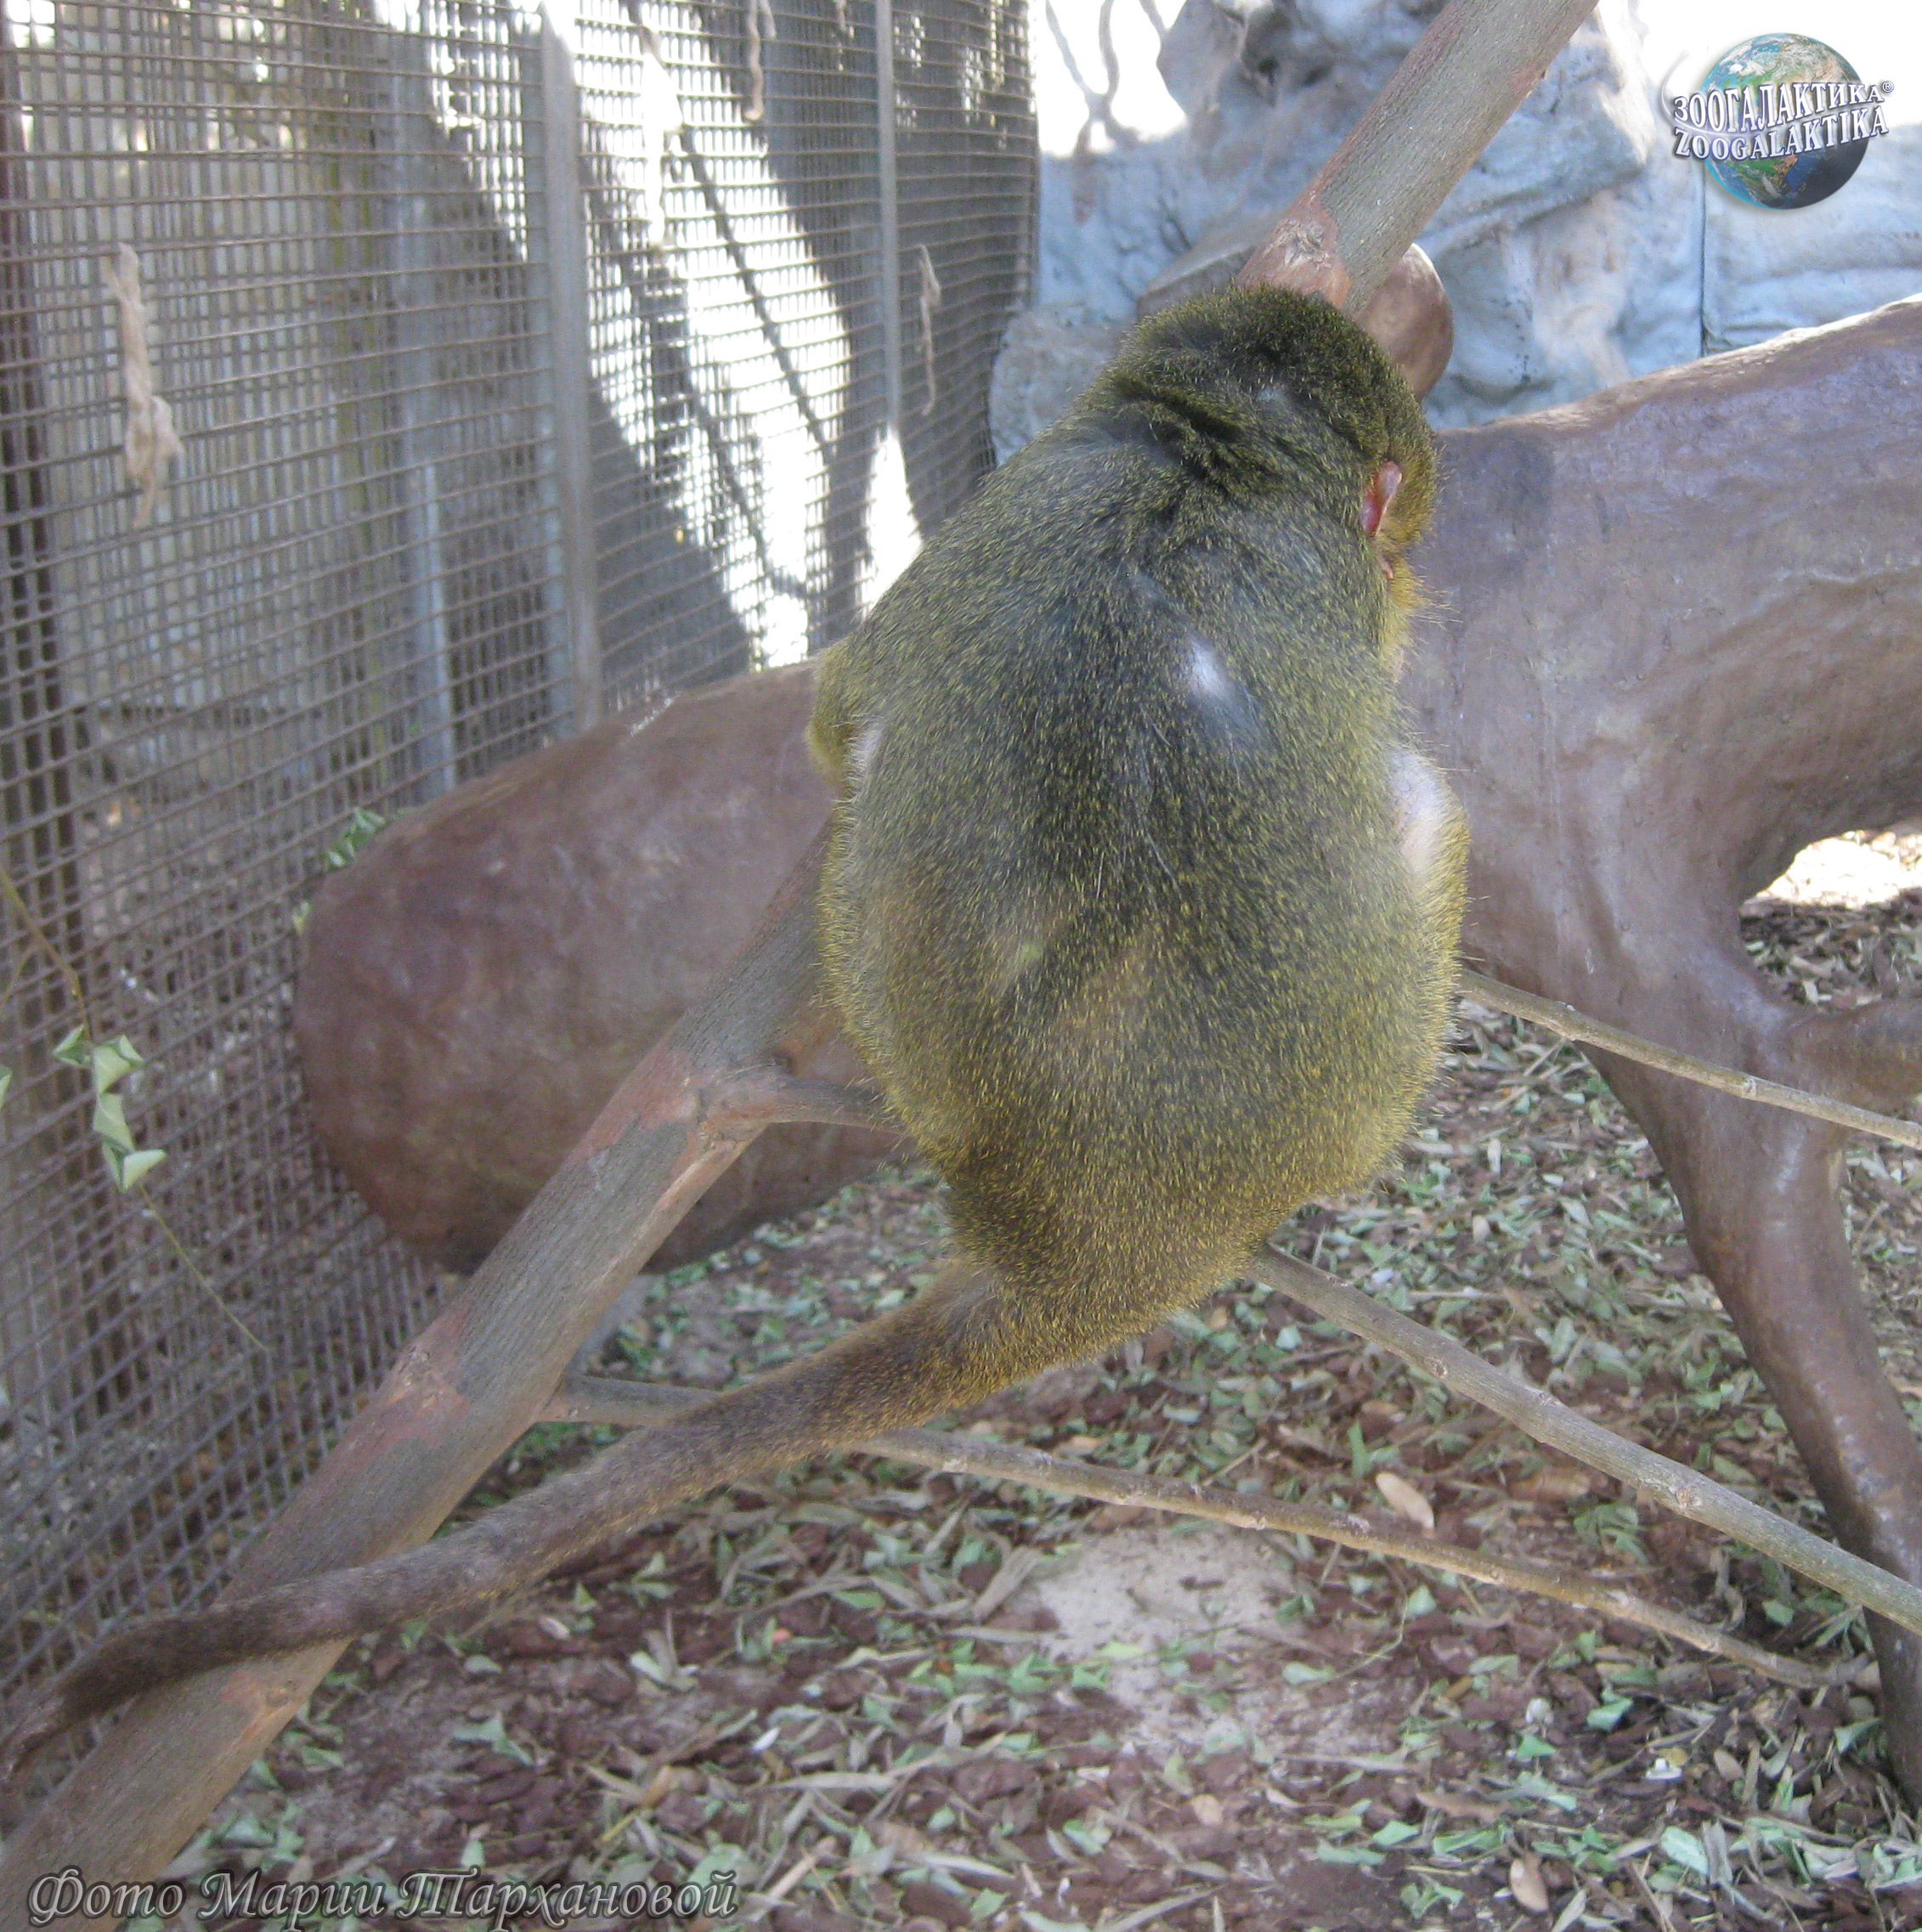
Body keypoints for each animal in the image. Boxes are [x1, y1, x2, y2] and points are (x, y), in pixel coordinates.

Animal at [0, 285, 1464, 1779]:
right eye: (1387, 531)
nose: (1407, 578)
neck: (1197, 462)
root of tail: (1088, 1233)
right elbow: (838, 712)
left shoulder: (1018, 498)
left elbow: (845, 716)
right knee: (1421, 806)